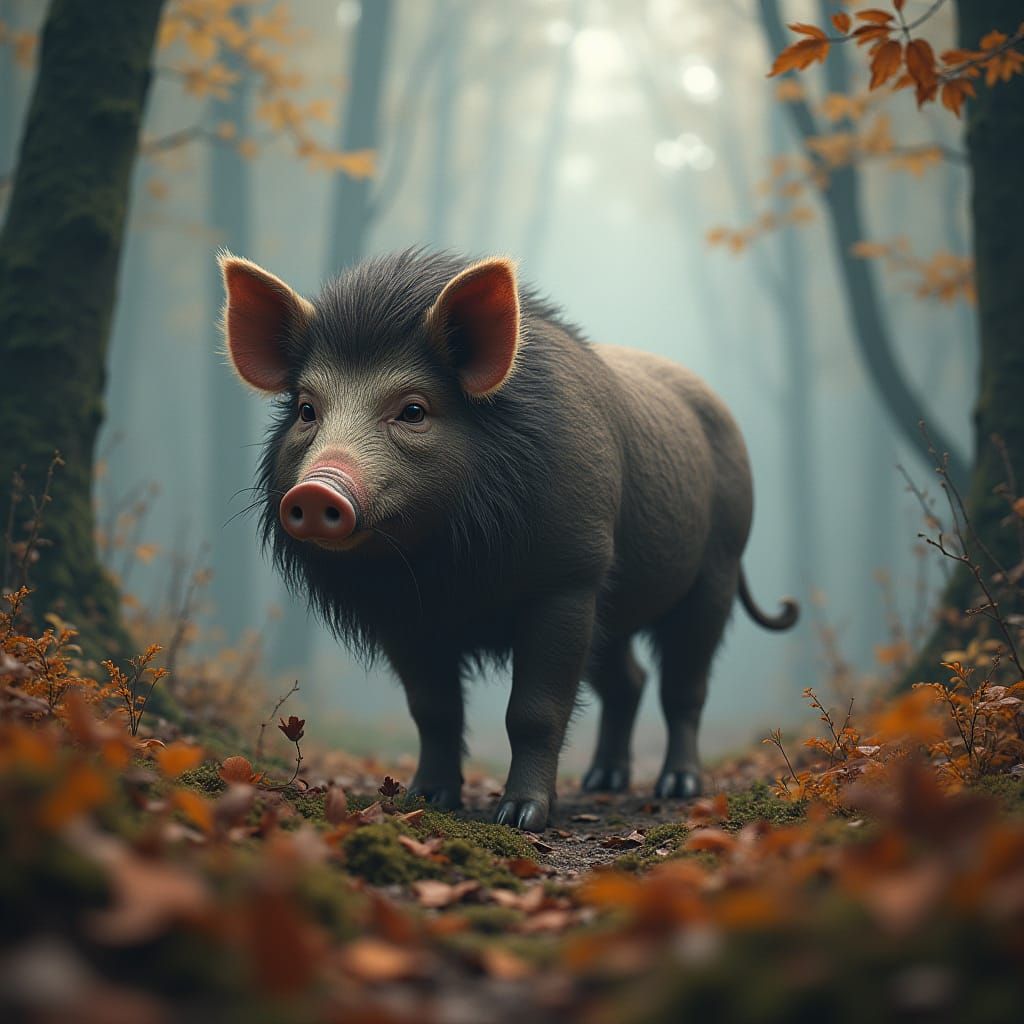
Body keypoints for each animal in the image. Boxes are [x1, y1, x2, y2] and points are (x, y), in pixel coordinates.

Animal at [219, 249, 797, 831]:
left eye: (413, 409)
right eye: (306, 409)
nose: (317, 490)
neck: (445, 569)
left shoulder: (569, 578)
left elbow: (533, 711)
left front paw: (519, 818)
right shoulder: (406, 615)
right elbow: (432, 711)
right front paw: (426, 800)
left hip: (717, 566)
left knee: (684, 686)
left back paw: (676, 787)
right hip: (614, 607)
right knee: (628, 681)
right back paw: (601, 783)